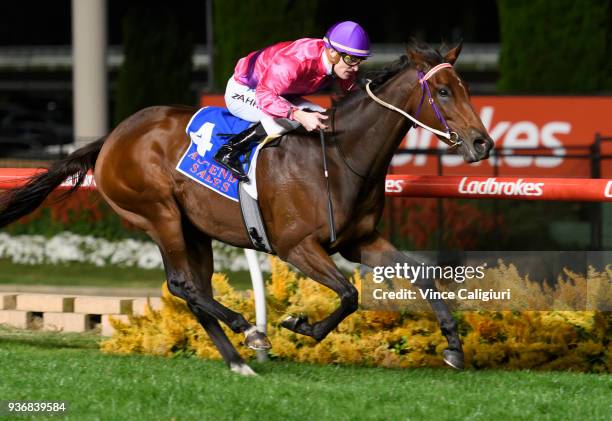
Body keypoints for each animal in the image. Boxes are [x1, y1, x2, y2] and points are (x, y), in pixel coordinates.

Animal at [0, 40, 492, 374]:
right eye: (443, 92)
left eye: (465, 87)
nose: (482, 143)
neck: (337, 156)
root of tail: (113, 137)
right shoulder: (297, 246)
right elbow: (349, 294)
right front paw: (301, 326)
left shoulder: (361, 240)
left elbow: (420, 274)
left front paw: (453, 346)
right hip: (159, 215)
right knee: (183, 285)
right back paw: (249, 331)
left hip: (194, 229)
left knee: (195, 290)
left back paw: (238, 360)